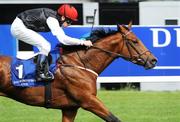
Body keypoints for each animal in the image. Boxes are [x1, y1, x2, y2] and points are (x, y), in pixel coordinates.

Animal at [0, 22, 157, 122]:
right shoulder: (88, 100)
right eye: (134, 41)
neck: (80, 64)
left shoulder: (70, 108)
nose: (153, 60)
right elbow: (114, 119)